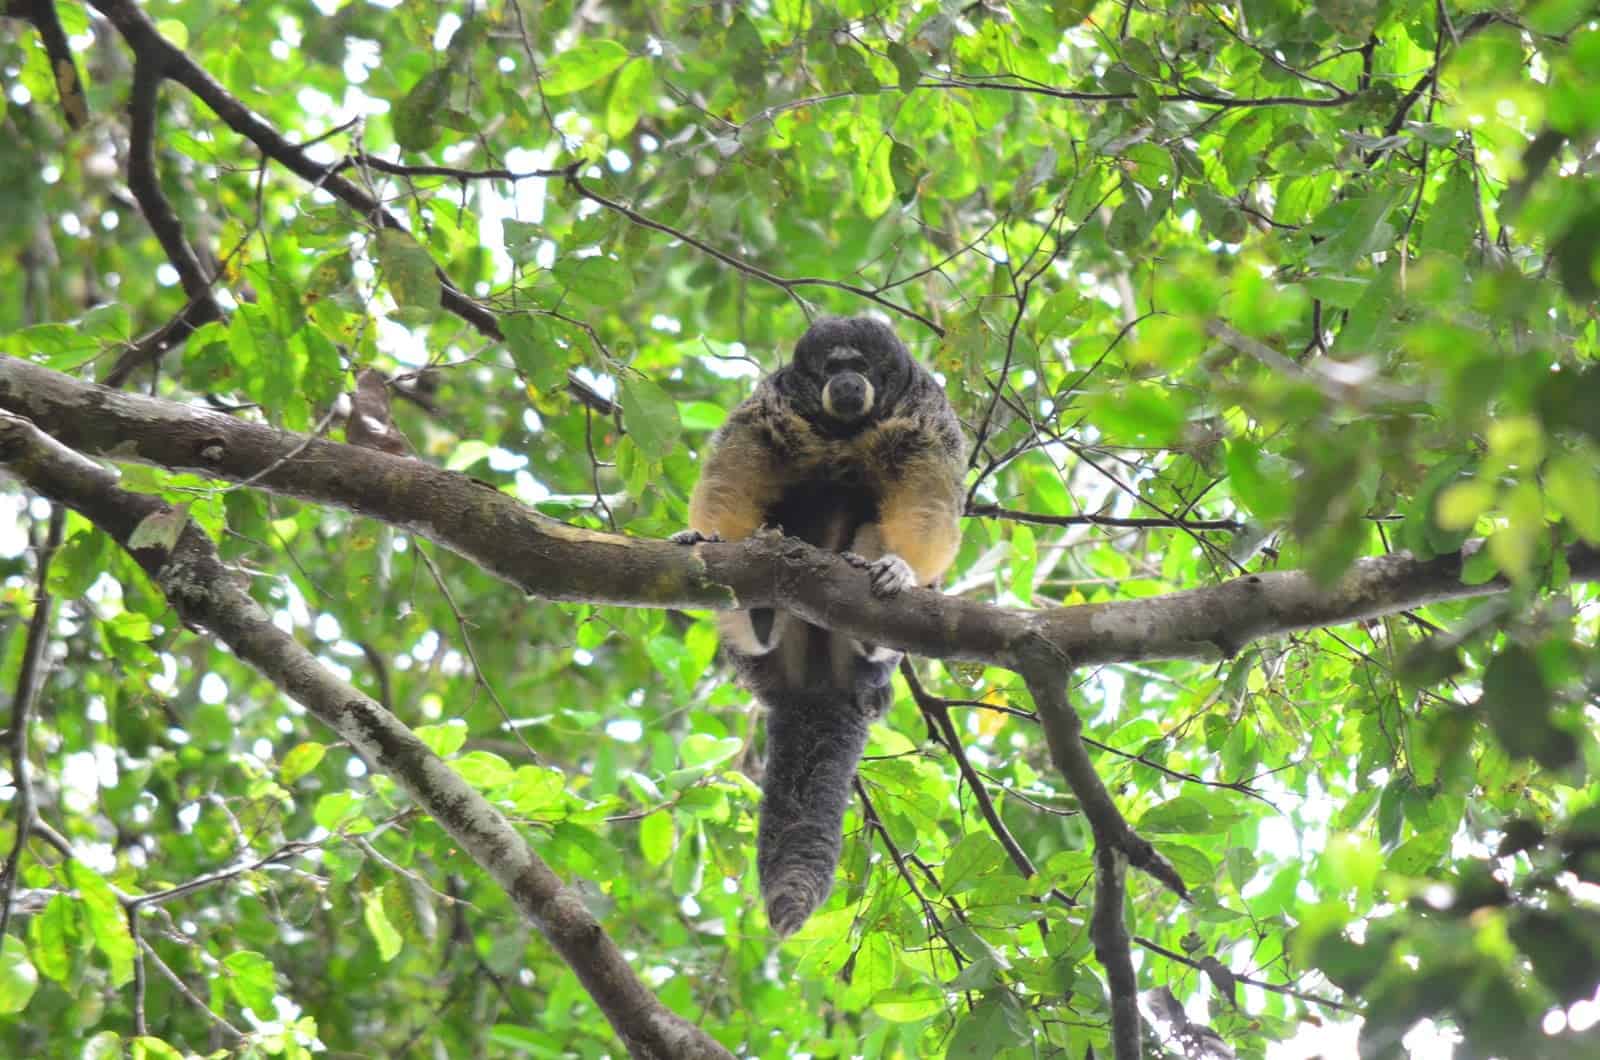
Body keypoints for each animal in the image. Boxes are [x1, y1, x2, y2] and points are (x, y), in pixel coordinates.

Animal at [672, 315, 960, 941]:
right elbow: (737, 471)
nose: (847, 381)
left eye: (863, 367)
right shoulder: (772, 407)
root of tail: (816, 684)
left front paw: (905, 569)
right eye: (831, 367)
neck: (843, 427)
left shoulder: (926, 416)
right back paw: (758, 618)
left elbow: (927, 499)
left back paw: (872, 630)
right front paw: (704, 536)